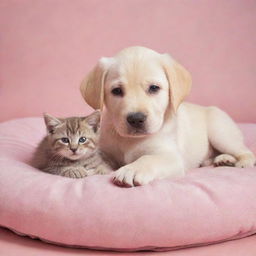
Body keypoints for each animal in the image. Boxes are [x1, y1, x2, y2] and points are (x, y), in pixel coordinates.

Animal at [79, 46, 254, 186]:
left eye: (154, 88)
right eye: (116, 91)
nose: (136, 119)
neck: (129, 140)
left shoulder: (171, 157)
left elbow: (148, 158)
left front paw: (132, 169)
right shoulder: (105, 152)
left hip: (220, 133)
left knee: (246, 152)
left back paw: (241, 162)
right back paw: (222, 159)